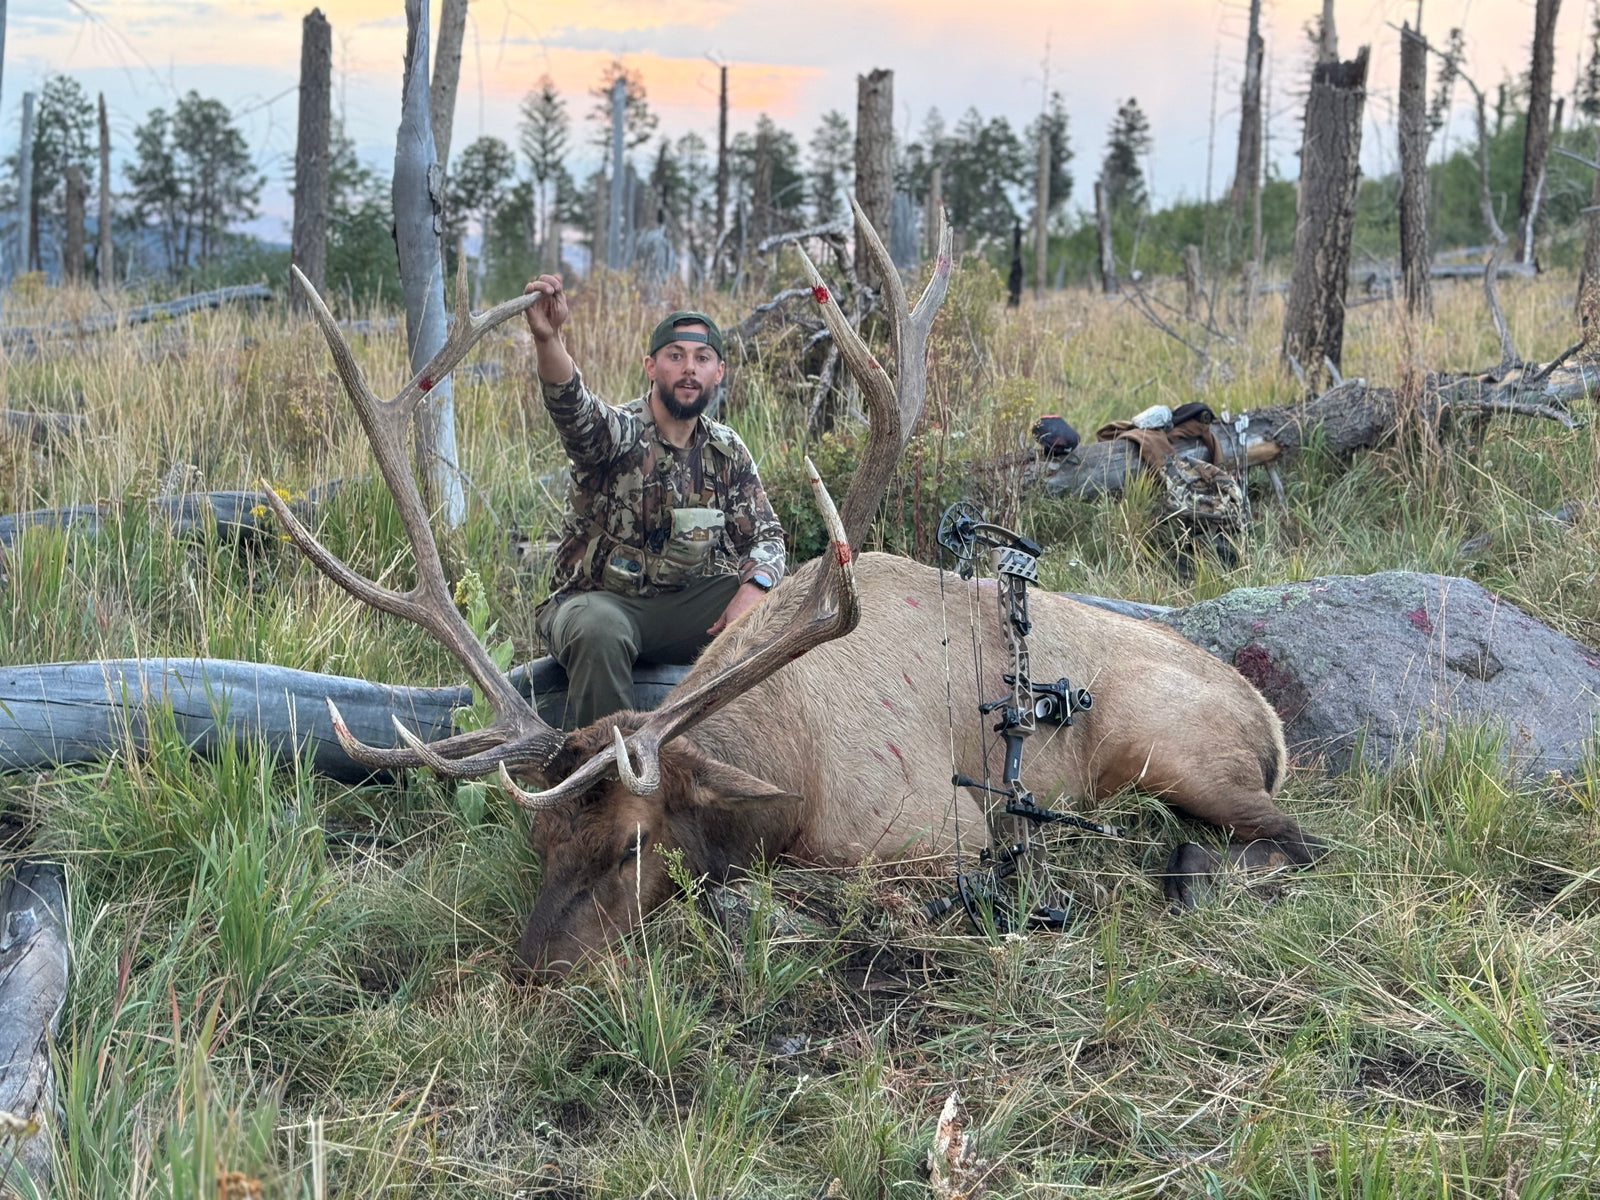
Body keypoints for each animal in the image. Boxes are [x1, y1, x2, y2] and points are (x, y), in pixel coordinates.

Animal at [265, 204, 1324, 979]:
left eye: (631, 847)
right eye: (540, 842)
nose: (531, 971)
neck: (795, 773)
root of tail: (1270, 722)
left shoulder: (941, 834)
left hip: (1174, 749)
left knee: (1300, 841)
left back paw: (1189, 869)